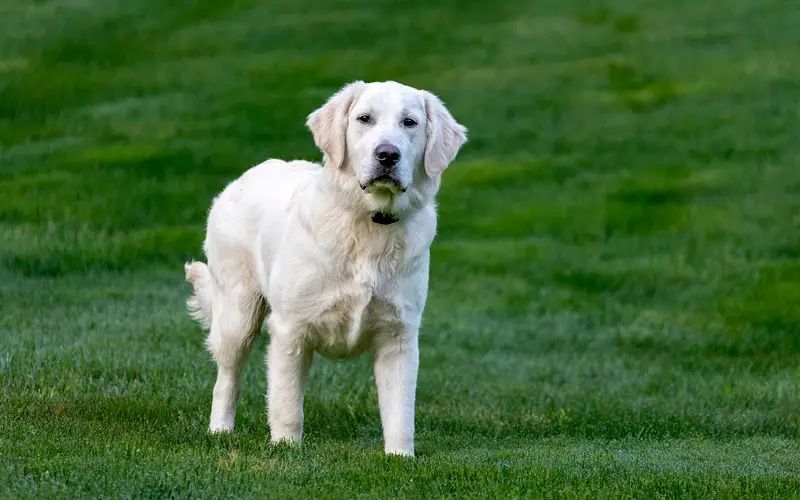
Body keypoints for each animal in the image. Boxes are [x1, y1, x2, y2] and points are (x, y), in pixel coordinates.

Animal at [184, 79, 466, 458]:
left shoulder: (399, 335)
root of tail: (242, 179)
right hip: (237, 315)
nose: (387, 155)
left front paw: (400, 457)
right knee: (227, 378)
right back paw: (220, 431)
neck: (369, 223)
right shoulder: (290, 329)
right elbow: (287, 403)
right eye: (364, 118)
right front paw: (286, 448)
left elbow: (400, 411)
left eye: (410, 122)